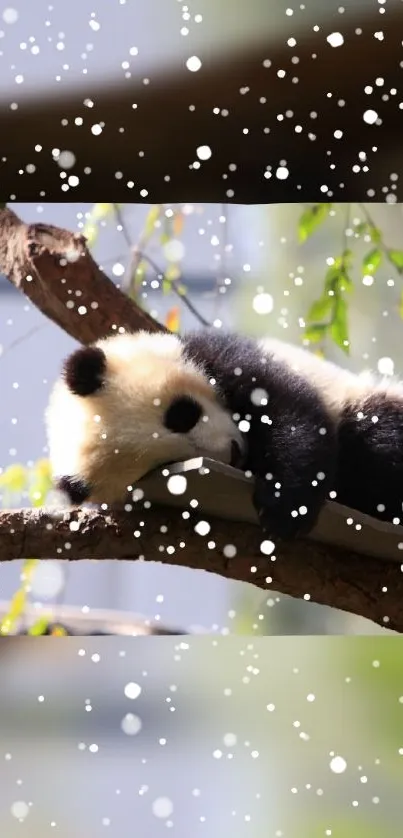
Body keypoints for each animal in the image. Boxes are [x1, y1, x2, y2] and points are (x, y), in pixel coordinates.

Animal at [45, 328, 403, 544]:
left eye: (181, 415)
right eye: (167, 465)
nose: (233, 454)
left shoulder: (224, 356)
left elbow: (290, 411)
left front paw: (284, 510)